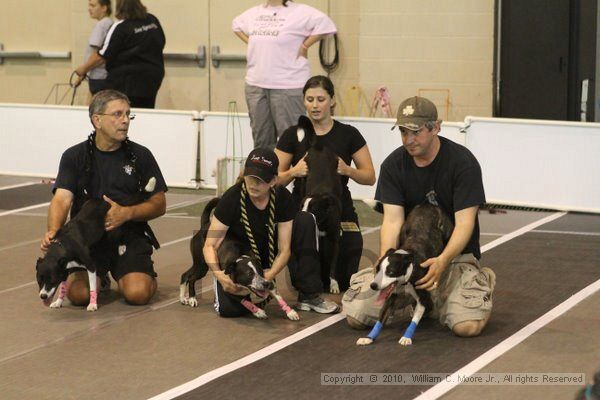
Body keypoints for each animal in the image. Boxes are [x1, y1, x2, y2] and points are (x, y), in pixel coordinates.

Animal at [296, 115, 342, 294]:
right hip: (302, 173)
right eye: (302, 207)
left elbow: (334, 265)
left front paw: (334, 285)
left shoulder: (335, 240)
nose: (301, 216)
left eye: (313, 208)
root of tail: (317, 146)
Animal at [356, 202, 450, 346]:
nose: (373, 285)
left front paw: (406, 337)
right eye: (377, 269)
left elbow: (415, 319)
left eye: (390, 272)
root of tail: (428, 204)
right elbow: (380, 319)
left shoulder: (423, 298)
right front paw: (369, 337)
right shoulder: (390, 299)